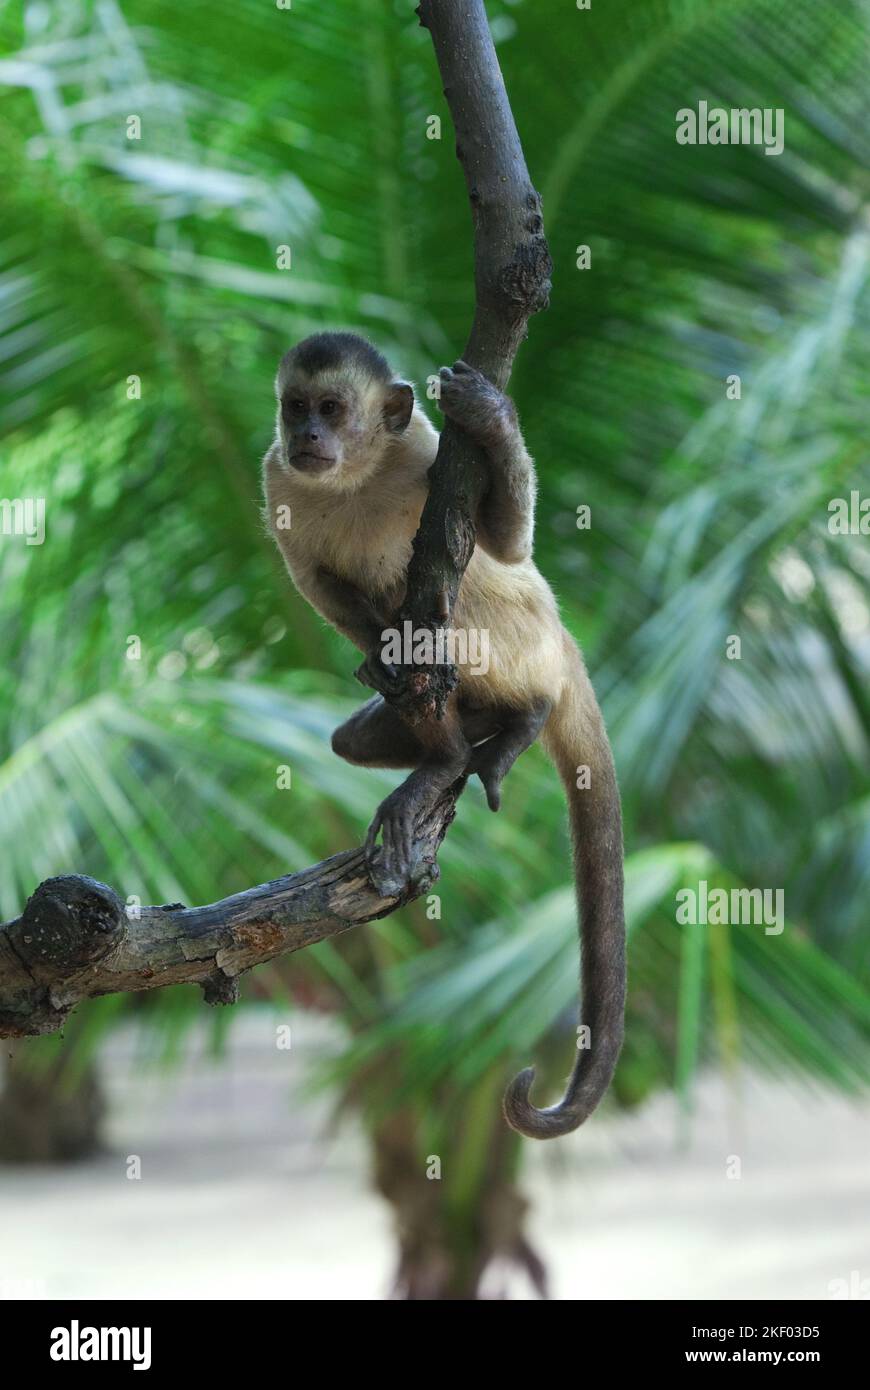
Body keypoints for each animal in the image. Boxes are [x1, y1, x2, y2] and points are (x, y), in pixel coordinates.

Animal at [261, 328, 619, 1139]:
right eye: (296, 407)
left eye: (332, 409)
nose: (308, 437)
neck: (357, 476)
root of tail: (563, 644)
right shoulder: (277, 479)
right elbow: (320, 586)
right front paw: (378, 654)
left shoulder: (428, 450)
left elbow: (508, 545)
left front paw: (490, 418)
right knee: (355, 736)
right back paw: (457, 744)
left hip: (529, 639)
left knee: (478, 590)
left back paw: (512, 724)